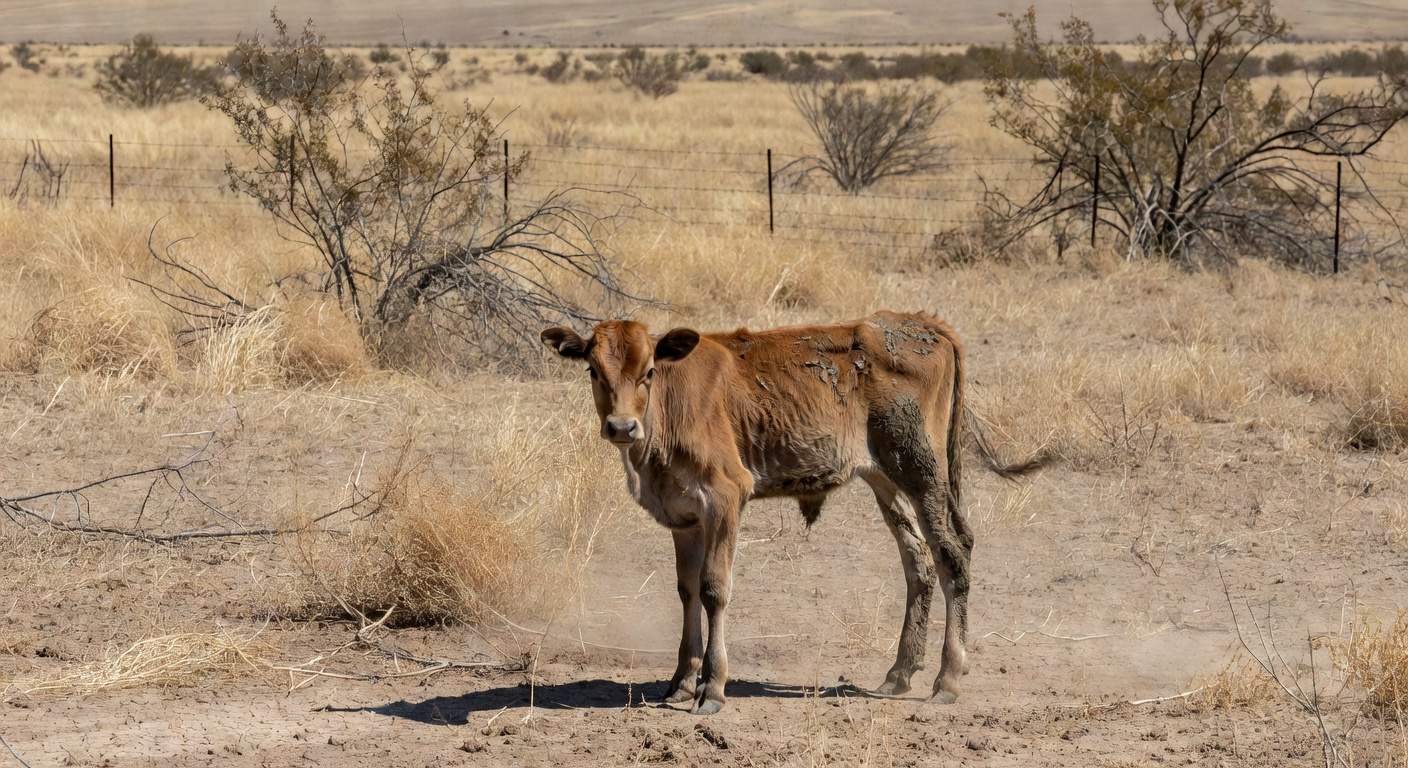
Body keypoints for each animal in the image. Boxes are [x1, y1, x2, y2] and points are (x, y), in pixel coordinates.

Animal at [541, 311, 1031, 715]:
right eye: (592, 370)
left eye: (649, 372)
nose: (622, 427)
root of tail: (922, 323)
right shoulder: (684, 518)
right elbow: (687, 591)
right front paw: (681, 682)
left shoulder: (725, 498)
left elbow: (714, 589)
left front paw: (712, 688)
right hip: (885, 479)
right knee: (919, 564)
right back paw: (899, 673)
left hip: (921, 471)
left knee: (953, 557)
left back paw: (947, 679)